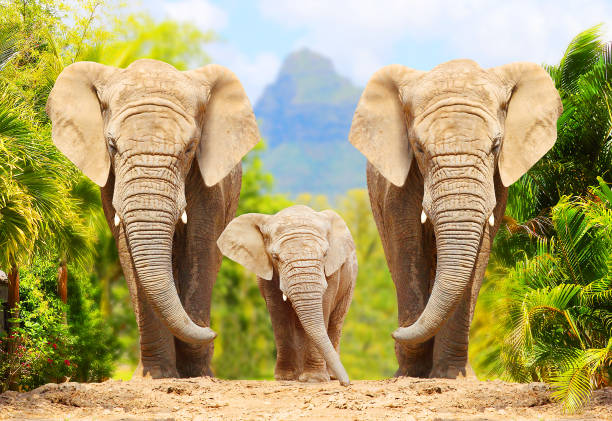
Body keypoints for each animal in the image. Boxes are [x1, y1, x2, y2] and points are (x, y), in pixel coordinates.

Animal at [46, 58, 260, 378]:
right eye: (111, 145)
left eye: (190, 148)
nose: (213, 333)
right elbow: (128, 254)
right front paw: (156, 376)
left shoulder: (211, 186)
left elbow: (200, 251)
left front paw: (197, 374)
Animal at [218, 205, 356, 386]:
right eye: (275, 257)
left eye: (325, 254)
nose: (346, 383)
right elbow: (279, 313)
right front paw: (285, 378)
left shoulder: (333, 271)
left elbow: (324, 306)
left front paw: (313, 380)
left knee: (336, 321)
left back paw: (329, 376)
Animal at [352, 58, 560, 378]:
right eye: (418, 147)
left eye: (496, 146)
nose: (394, 333)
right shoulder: (396, 189)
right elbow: (407, 249)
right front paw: (411, 373)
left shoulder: (496, 185)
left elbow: (479, 253)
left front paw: (451, 375)